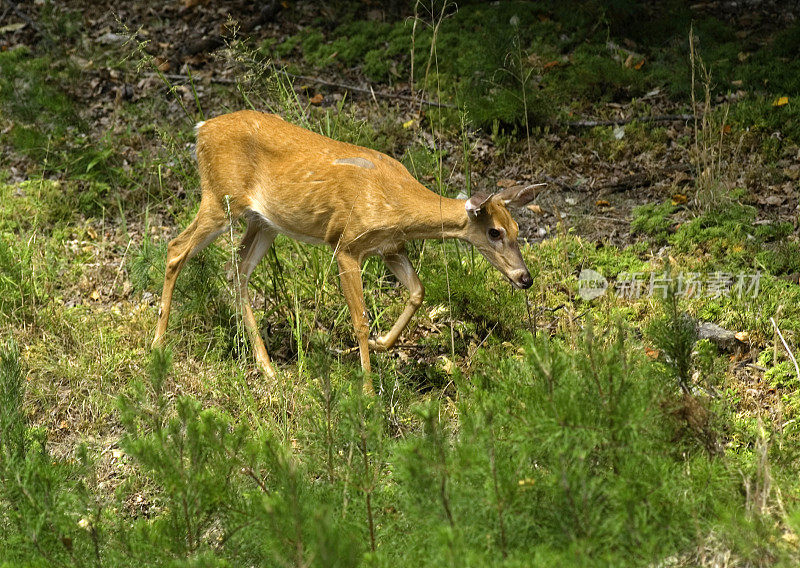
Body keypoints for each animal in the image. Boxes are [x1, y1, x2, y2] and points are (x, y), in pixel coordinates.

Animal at [153, 111, 540, 394]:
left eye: (518, 231)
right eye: (494, 232)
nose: (525, 278)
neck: (397, 202)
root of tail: (201, 130)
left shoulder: (390, 247)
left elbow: (418, 291)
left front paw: (383, 343)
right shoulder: (347, 244)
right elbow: (360, 319)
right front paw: (368, 391)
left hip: (264, 222)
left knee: (237, 271)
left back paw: (267, 368)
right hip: (221, 199)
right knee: (175, 249)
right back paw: (158, 345)